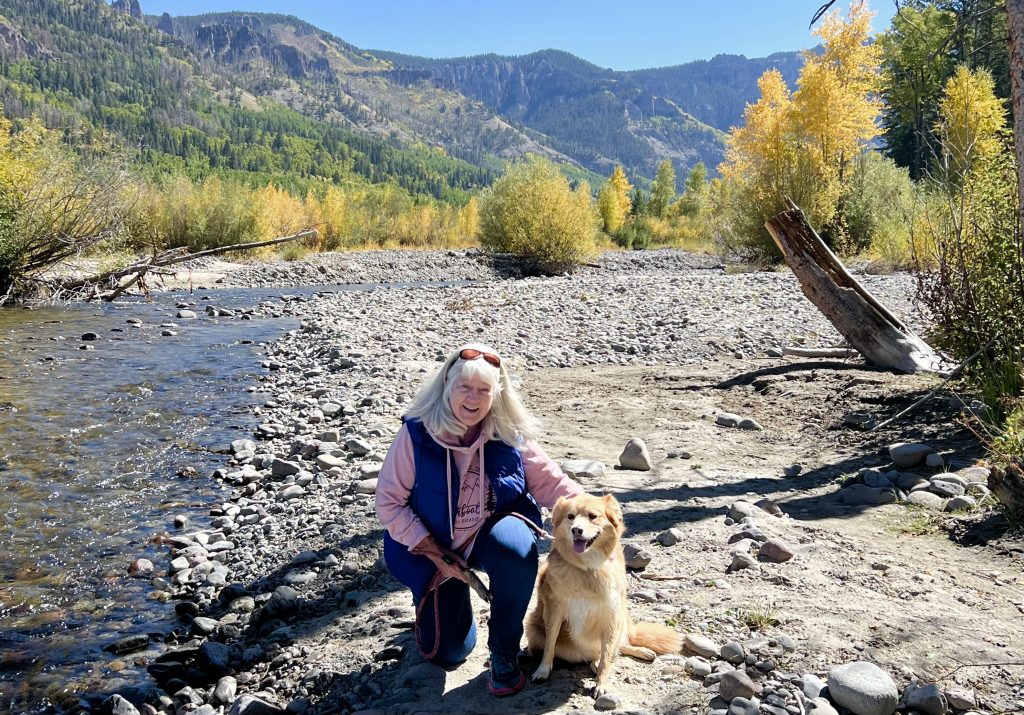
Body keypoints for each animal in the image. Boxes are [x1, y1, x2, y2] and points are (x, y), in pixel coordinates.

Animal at [524, 493, 684, 692]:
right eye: (570, 516)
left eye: (592, 516)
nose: (576, 530)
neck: (587, 569)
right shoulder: (554, 610)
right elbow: (550, 645)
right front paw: (543, 670)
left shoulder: (611, 614)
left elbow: (607, 655)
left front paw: (602, 683)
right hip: (533, 628)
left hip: (622, 618)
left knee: (617, 647)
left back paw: (641, 651)